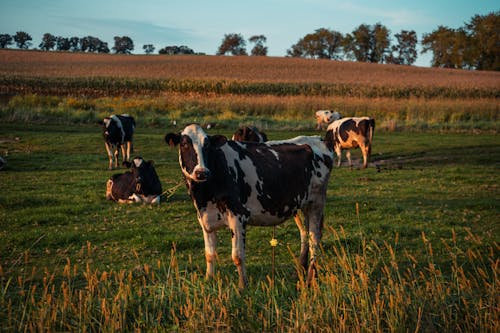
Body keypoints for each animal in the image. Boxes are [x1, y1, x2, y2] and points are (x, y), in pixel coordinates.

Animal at [166, 124, 334, 288]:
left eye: (207, 145)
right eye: (184, 144)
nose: (201, 172)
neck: (204, 194)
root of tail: (317, 139)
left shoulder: (238, 216)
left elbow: (237, 256)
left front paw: (242, 287)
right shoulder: (204, 219)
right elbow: (209, 254)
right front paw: (209, 280)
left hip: (316, 202)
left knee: (314, 239)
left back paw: (310, 278)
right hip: (299, 205)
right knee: (305, 233)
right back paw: (300, 270)